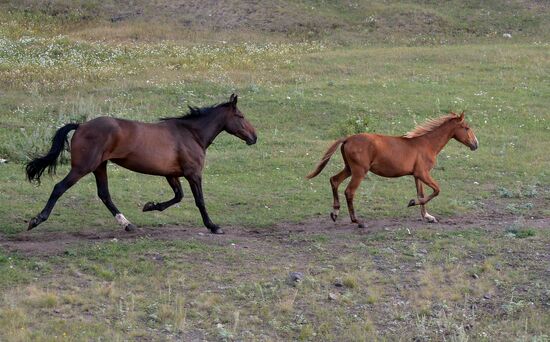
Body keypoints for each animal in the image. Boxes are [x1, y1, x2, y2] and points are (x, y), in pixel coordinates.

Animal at [25, 93, 258, 234]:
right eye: (241, 116)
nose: (254, 137)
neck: (191, 134)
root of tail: (81, 125)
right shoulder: (193, 174)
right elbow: (199, 200)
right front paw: (213, 226)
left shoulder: (171, 174)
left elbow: (178, 196)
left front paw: (150, 206)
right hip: (83, 167)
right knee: (59, 187)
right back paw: (36, 220)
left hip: (100, 167)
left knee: (104, 194)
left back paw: (128, 224)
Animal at [308, 111, 480, 227]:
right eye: (466, 127)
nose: (475, 144)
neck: (427, 144)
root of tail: (348, 138)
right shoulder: (423, 173)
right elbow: (437, 190)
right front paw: (412, 202)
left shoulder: (417, 175)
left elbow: (422, 193)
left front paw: (427, 216)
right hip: (359, 171)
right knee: (349, 191)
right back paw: (357, 221)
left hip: (349, 168)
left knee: (334, 180)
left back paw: (335, 213)